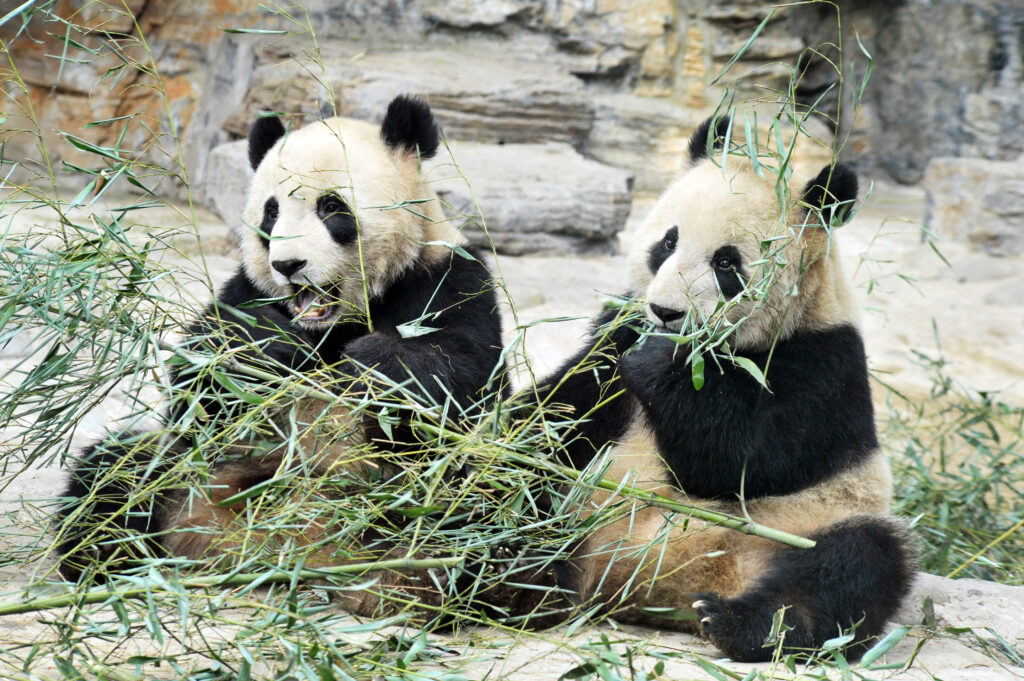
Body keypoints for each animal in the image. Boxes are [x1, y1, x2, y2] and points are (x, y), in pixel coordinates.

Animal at [55, 94, 503, 593]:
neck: (336, 323)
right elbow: (198, 389)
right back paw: (103, 554)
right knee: (115, 473)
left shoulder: (448, 278)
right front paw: (269, 344)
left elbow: (459, 383)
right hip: (183, 474)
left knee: (475, 507)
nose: (289, 264)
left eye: (332, 208)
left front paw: (370, 364)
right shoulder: (244, 290)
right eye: (271, 213)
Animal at [536, 115, 921, 659]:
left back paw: (741, 624)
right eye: (667, 243)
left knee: (853, 566)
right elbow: (564, 407)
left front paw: (662, 364)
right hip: (582, 508)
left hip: (810, 523)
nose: (667, 312)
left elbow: (742, 460)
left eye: (725, 263)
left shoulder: (826, 361)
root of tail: (650, 585)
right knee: (534, 506)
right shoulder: (617, 332)